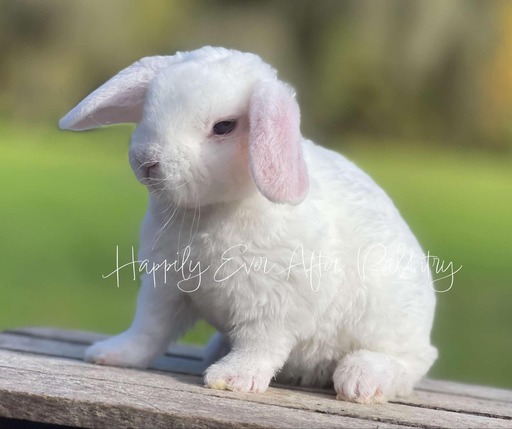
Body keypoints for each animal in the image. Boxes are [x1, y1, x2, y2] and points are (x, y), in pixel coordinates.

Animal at [59, 47, 436, 404]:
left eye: (224, 126)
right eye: (149, 109)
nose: (147, 161)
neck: (211, 212)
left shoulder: (275, 303)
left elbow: (260, 344)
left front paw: (233, 379)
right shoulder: (165, 288)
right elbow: (149, 329)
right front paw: (112, 354)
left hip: (390, 325)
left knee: (412, 361)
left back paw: (361, 380)